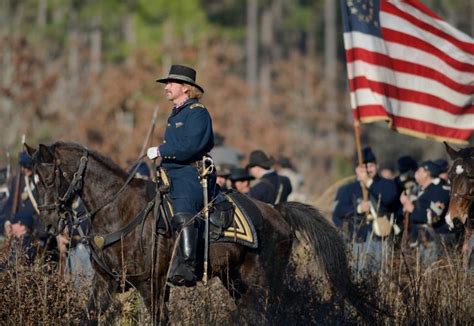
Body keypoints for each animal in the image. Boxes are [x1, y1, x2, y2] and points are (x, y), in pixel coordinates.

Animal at [27, 142, 378, 324]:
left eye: (51, 176)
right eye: (33, 179)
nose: (48, 225)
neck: (118, 210)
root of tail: (276, 211)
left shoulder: (152, 285)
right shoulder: (106, 284)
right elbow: (87, 316)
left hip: (260, 280)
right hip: (236, 281)